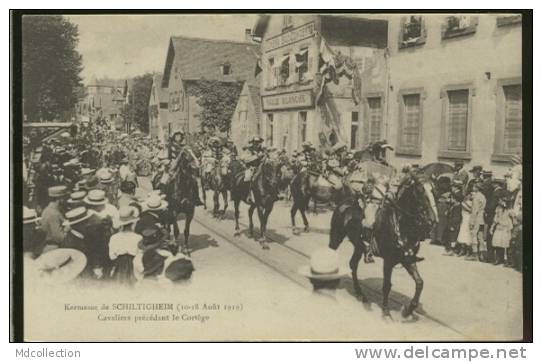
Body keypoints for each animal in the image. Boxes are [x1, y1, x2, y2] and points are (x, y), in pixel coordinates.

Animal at [330, 174, 440, 318]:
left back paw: (360, 294)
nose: (433, 220)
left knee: (353, 264)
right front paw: (386, 312)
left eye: (435, 192)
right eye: (420, 191)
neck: (401, 225)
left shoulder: (408, 259)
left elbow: (420, 282)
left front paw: (408, 310)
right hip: (336, 237)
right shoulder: (388, 261)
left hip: (359, 246)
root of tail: (345, 201)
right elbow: (387, 285)